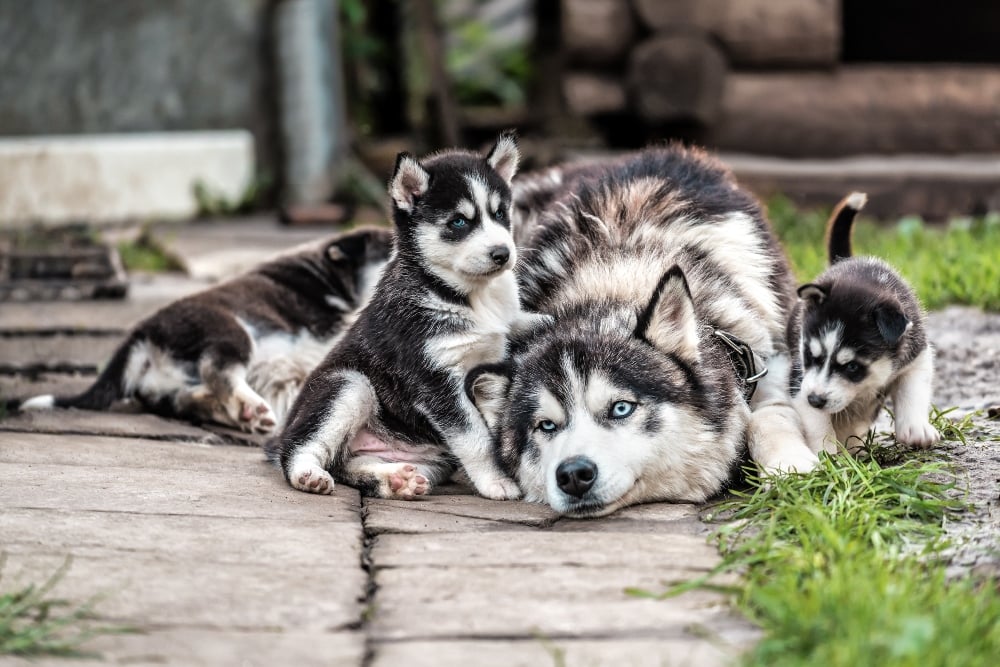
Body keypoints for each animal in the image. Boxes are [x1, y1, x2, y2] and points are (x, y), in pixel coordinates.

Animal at [12, 227, 394, 436]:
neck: (333, 274)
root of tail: (142, 334)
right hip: (228, 328)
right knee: (219, 371)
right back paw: (250, 408)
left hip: (170, 384)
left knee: (187, 398)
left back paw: (238, 415)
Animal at [270, 133, 544, 500]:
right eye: (459, 221)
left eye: (500, 213)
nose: (502, 253)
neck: (468, 295)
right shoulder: (435, 379)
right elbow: (475, 438)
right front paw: (496, 481)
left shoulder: (504, 330)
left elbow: (525, 322)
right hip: (349, 385)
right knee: (301, 449)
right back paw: (308, 474)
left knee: (347, 466)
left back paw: (395, 479)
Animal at [468, 146, 820, 520]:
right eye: (546, 426)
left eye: (621, 408)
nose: (573, 474)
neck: (615, 270)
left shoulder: (768, 356)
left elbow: (768, 415)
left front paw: (791, 466)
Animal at [784, 193, 940, 454]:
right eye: (810, 356)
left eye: (852, 367)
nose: (815, 399)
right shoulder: (799, 377)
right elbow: (817, 422)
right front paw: (827, 453)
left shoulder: (916, 355)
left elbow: (913, 389)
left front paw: (916, 428)